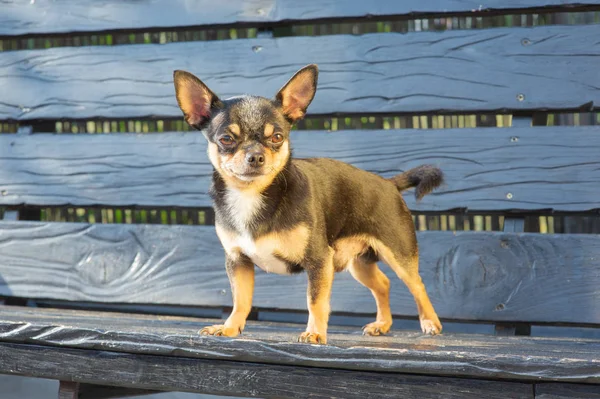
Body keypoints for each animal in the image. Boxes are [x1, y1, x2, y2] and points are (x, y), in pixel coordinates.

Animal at [171, 63, 442, 344]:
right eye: (226, 139)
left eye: (277, 137)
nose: (255, 156)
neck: (252, 195)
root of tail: (389, 183)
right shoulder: (238, 261)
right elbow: (241, 300)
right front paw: (229, 327)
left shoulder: (319, 261)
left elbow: (316, 300)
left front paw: (315, 333)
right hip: (359, 264)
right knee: (383, 284)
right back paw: (382, 324)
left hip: (399, 255)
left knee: (417, 284)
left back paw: (430, 323)